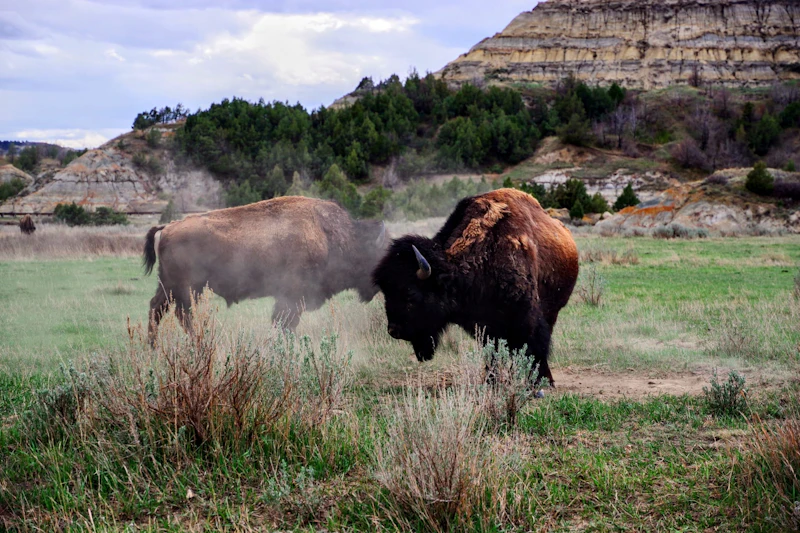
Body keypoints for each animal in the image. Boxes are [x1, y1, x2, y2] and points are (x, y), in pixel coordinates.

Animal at [143, 196, 387, 340]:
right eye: (378, 256)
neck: (328, 235)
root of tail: (168, 227)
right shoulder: (292, 296)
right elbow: (285, 321)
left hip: (169, 285)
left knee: (157, 308)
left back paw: (154, 346)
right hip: (188, 287)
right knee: (182, 314)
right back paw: (196, 342)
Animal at [372, 188, 579, 388]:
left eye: (411, 293)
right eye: (386, 291)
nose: (394, 331)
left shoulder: (526, 317)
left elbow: (534, 347)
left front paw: (536, 382)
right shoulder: (484, 325)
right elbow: (493, 352)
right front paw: (490, 381)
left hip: (552, 311)